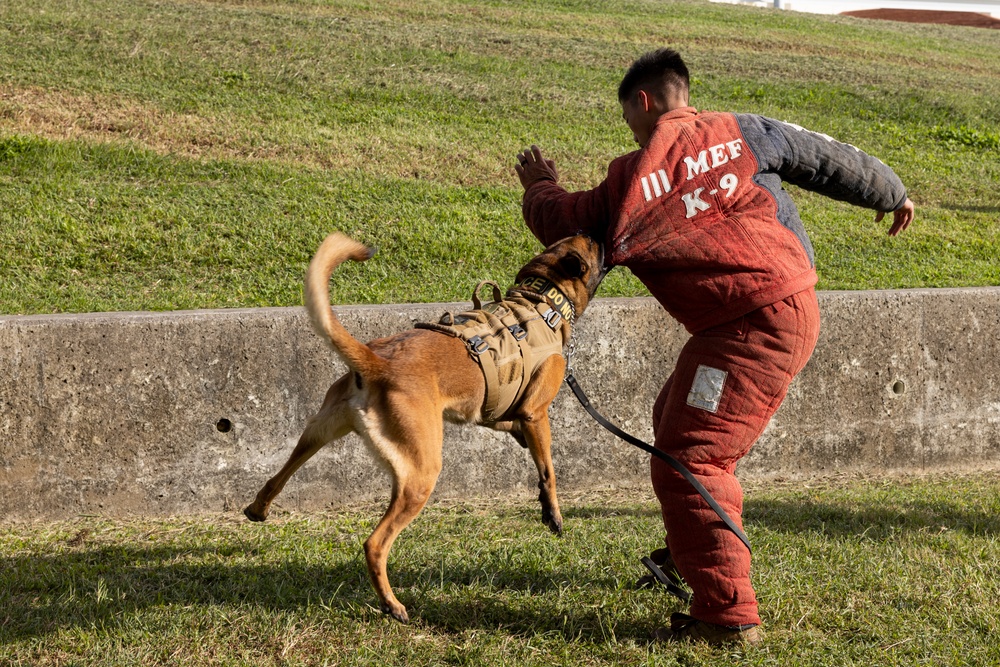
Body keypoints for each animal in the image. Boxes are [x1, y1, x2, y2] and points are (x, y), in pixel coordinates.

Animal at [244, 232, 600, 624]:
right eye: (593, 247)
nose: (598, 235)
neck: (539, 303)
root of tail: (377, 363)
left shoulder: (501, 409)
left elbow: (505, 423)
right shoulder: (537, 414)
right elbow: (548, 470)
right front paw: (553, 513)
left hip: (319, 431)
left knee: (278, 475)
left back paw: (258, 509)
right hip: (421, 474)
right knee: (374, 544)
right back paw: (391, 603)